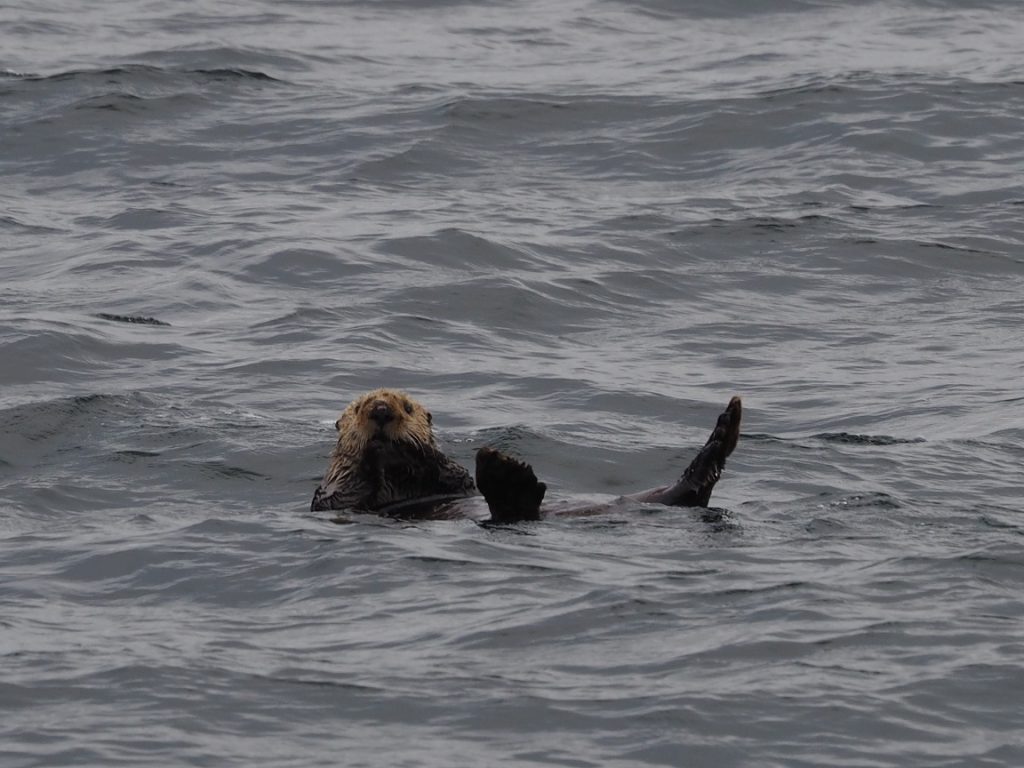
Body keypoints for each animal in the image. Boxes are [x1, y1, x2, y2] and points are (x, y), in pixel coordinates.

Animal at [307, 391, 741, 524]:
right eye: (359, 406)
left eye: (408, 407)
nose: (381, 410)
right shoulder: (342, 497)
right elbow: (341, 491)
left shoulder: (445, 479)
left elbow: (453, 475)